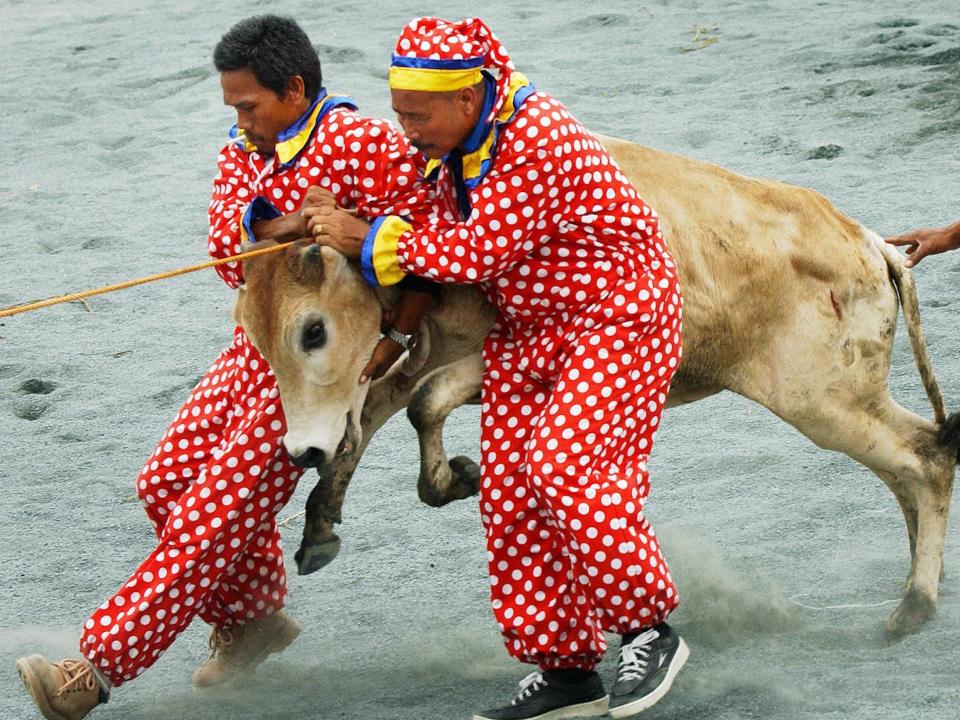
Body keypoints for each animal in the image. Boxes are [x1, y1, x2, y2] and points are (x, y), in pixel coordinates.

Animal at [234, 135, 960, 636]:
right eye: (254, 331)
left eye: (313, 331)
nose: (301, 449)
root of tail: (870, 244)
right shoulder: (415, 355)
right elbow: (381, 411)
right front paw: (323, 522)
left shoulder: (489, 356)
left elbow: (422, 404)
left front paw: (454, 477)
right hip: (843, 401)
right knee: (913, 465)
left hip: (825, 402)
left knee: (924, 457)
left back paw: (915, 604)